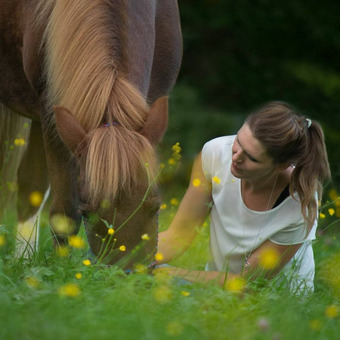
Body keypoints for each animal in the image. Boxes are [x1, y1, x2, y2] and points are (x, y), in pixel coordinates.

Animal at [0, 1, 183, 270]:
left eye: (155, 206)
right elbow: (64, 215)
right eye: (87, 211)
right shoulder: (52, 114)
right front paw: (61, 271)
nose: (126, 276)